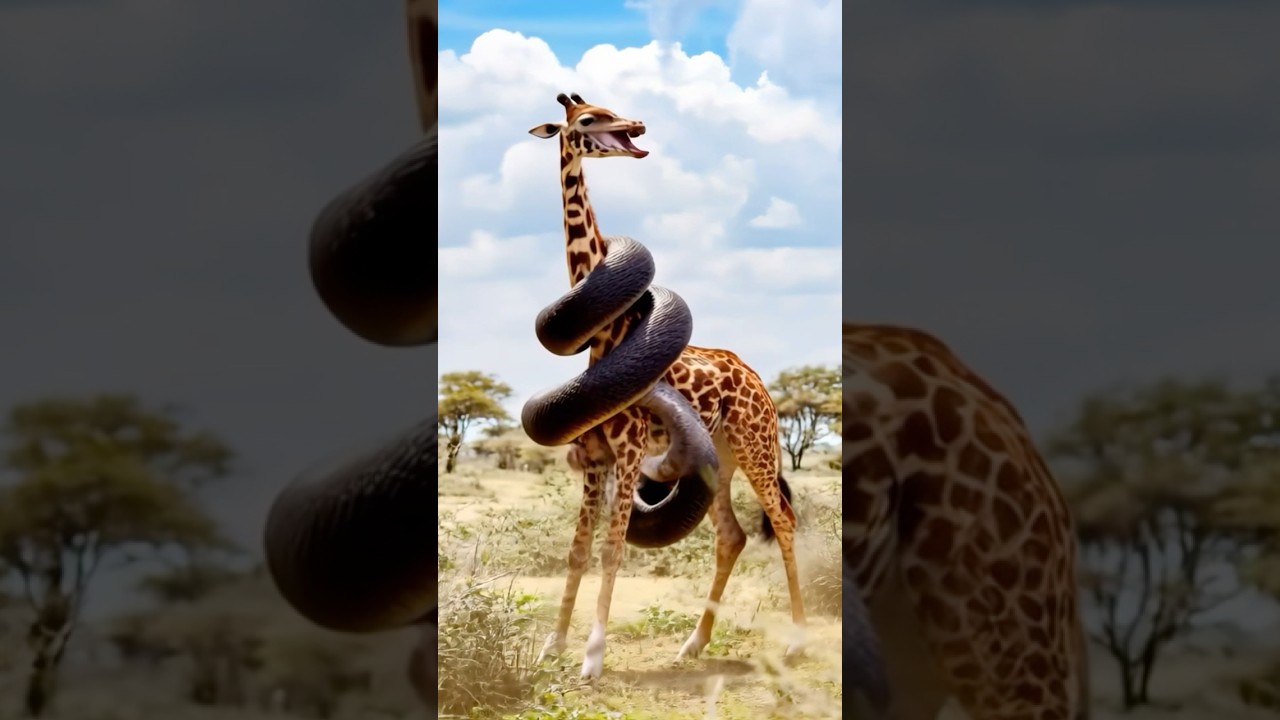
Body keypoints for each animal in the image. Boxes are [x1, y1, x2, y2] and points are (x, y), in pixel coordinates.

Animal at [526, 93, 807, 680]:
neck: (607, 337)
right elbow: (579, 548)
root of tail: (758, 381)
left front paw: (593, 658)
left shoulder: (630, 452)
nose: (638, 125)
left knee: (783, 520)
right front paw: (553, 646)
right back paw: (693, 645)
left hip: (756, 446)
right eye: (588, 119)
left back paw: (796, 641)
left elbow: (612, 549)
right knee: (732, 534)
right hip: (720, 457)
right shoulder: (595, 457)